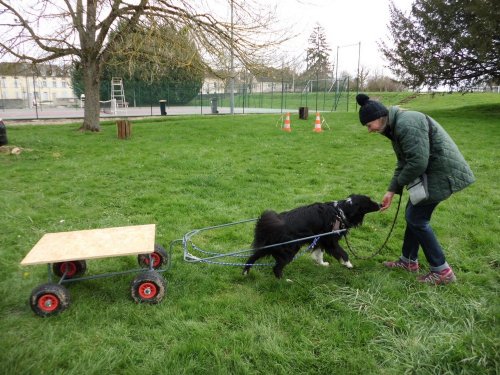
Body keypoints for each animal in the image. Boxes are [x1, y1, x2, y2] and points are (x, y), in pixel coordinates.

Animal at [242, 197, 378, 280]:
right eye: (369, 201)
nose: (380, 204)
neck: (340, 212)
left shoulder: (320, 240)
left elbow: (319, 254)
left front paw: (322, 264)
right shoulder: (330, 241)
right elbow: (343, 253)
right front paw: (349, 265)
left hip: (270, 246)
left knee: (253, 256)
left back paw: (245, 272)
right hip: (289, 250)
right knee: (276, 267)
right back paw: (284, 281)